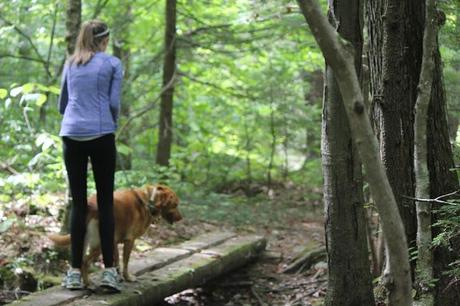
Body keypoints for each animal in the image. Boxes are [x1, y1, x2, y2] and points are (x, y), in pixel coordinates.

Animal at [49, 183, 181, 286]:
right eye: (175, 204)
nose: (181, 218)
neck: (149, 200)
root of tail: (90, 206)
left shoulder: (114, 242)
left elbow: (116, 261)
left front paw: (117, 277)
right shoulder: (129, 240)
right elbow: (125, 262)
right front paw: (128, 277)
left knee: (79, 260)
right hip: (99, 243)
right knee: (84, 262)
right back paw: (88, 283)